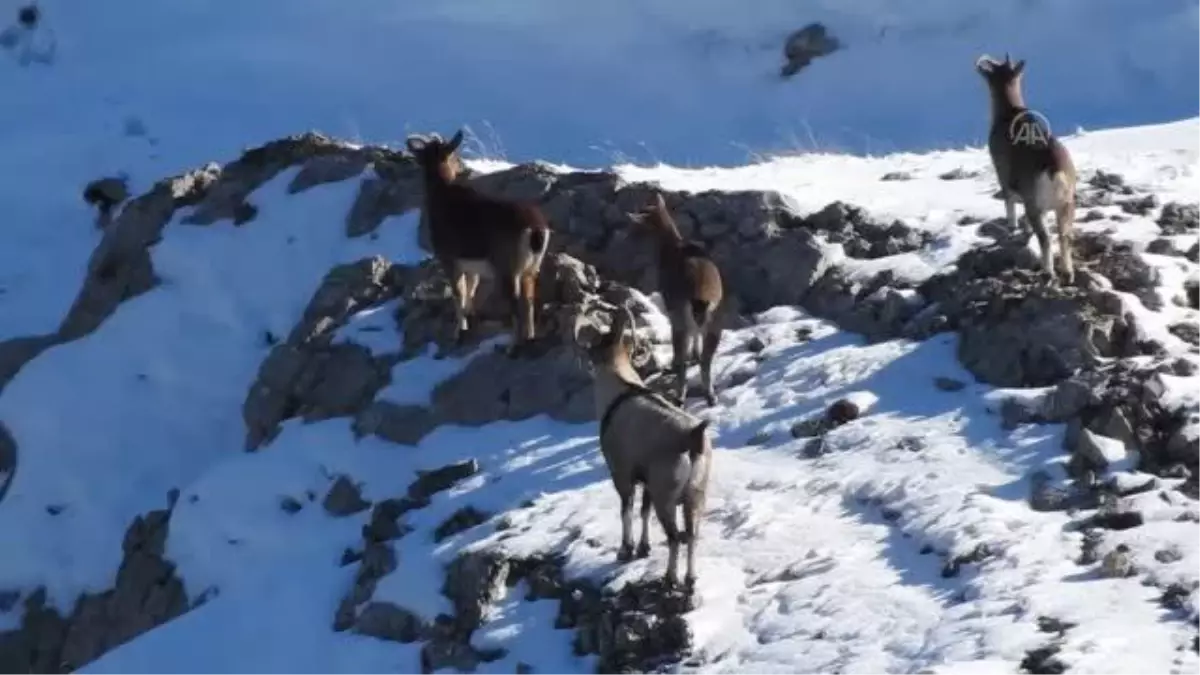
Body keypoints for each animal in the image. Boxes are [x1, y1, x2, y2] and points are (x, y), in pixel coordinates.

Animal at [405, 127, 549, 355]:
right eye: (454, 156)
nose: (462, 167)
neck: (441, 196)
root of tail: (536, 231)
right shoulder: (471, 267)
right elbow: (470, 292)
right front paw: (470, 322)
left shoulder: (449, 259)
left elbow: (458, 294)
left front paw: (458, 334)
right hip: (531, 269)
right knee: (529, 300)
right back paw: (530, 338)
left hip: (508, 270)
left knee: (517, 303)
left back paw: (512, 347)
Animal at [573, 302, 710, 586]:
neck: (619, 394)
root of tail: (694, 437)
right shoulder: (646, 481)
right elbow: (644, 511)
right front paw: (643, 548)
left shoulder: (622, 474)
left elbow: (626, 510)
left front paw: (625, 550)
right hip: (695, 497)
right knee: (691, 535)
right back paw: (690, 580)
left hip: (666, 498)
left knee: (674, 537)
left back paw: (670, 578)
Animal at [628, 192, 720, 408]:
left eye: (643, 216)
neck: (671, 247)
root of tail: (700, 299)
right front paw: (695, 354)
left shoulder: (670, 306)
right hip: (715, 322)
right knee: (706, 359)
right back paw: (710, 396)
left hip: (679, 319)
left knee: (681, 360)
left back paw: (680, 397)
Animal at [974, 53, 1080, 282]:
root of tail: (1054, 171)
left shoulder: (1003, 176)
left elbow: (1010, 203)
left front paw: (1013, 229)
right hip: (1066, 205)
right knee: (1064, 236)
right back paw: (1068, 274)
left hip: (1036, 207)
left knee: (1045, 238)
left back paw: (1047, 272)